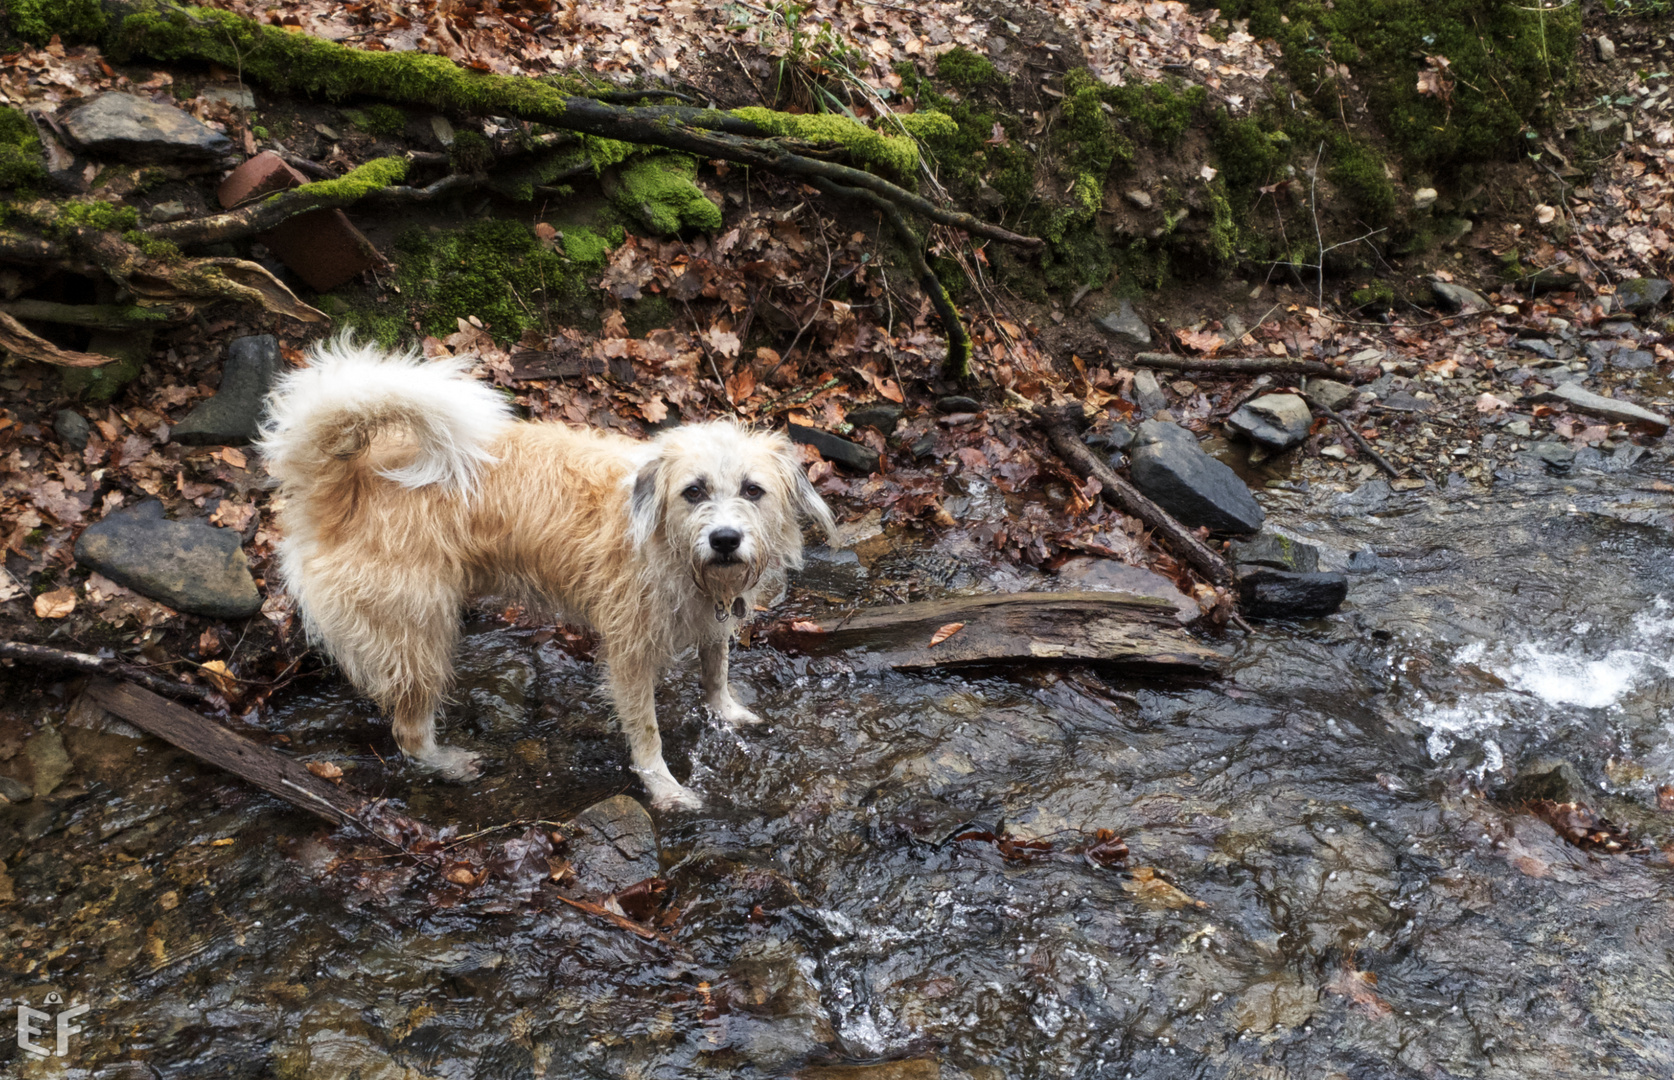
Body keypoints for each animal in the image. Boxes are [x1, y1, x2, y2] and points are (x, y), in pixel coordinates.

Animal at [257, 339, 833, 810]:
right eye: (693, 491)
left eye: (753, 490)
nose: (725, 540)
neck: (665, 544)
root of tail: (346, 484)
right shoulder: (629, 654)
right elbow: (646, 731)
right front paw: (664, 788)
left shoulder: (713, 619)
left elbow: (716, 671)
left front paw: (727, 712)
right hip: (417, 632)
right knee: (409, 729)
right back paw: (447, 762)